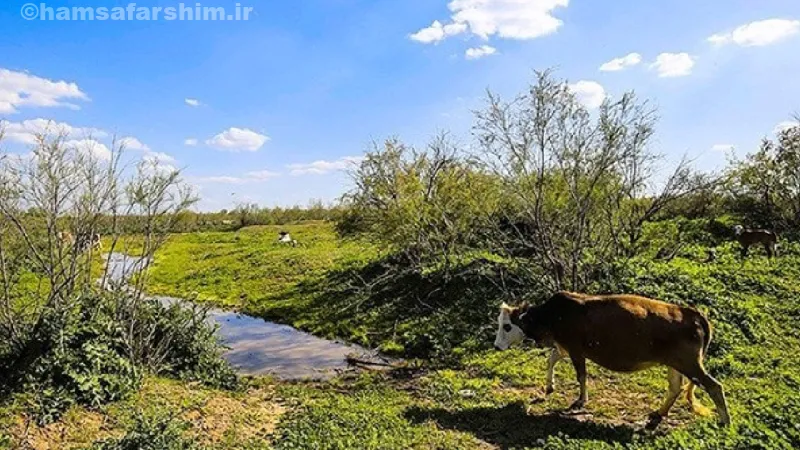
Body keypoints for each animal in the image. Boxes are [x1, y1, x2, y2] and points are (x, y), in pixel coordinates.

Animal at [494, 292, 732, 428]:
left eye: (507, 326)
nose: (496, 346)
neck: (553, 315)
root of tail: (692, 313)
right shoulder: (564, 347)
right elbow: (551, 359)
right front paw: (550, 386)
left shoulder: (575, 349)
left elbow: (581, 375)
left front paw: (580, 400)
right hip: (676, 363)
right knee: (675, 388)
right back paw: (659, 413)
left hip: (689, 363)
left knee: (714, 386)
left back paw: (725, 421)